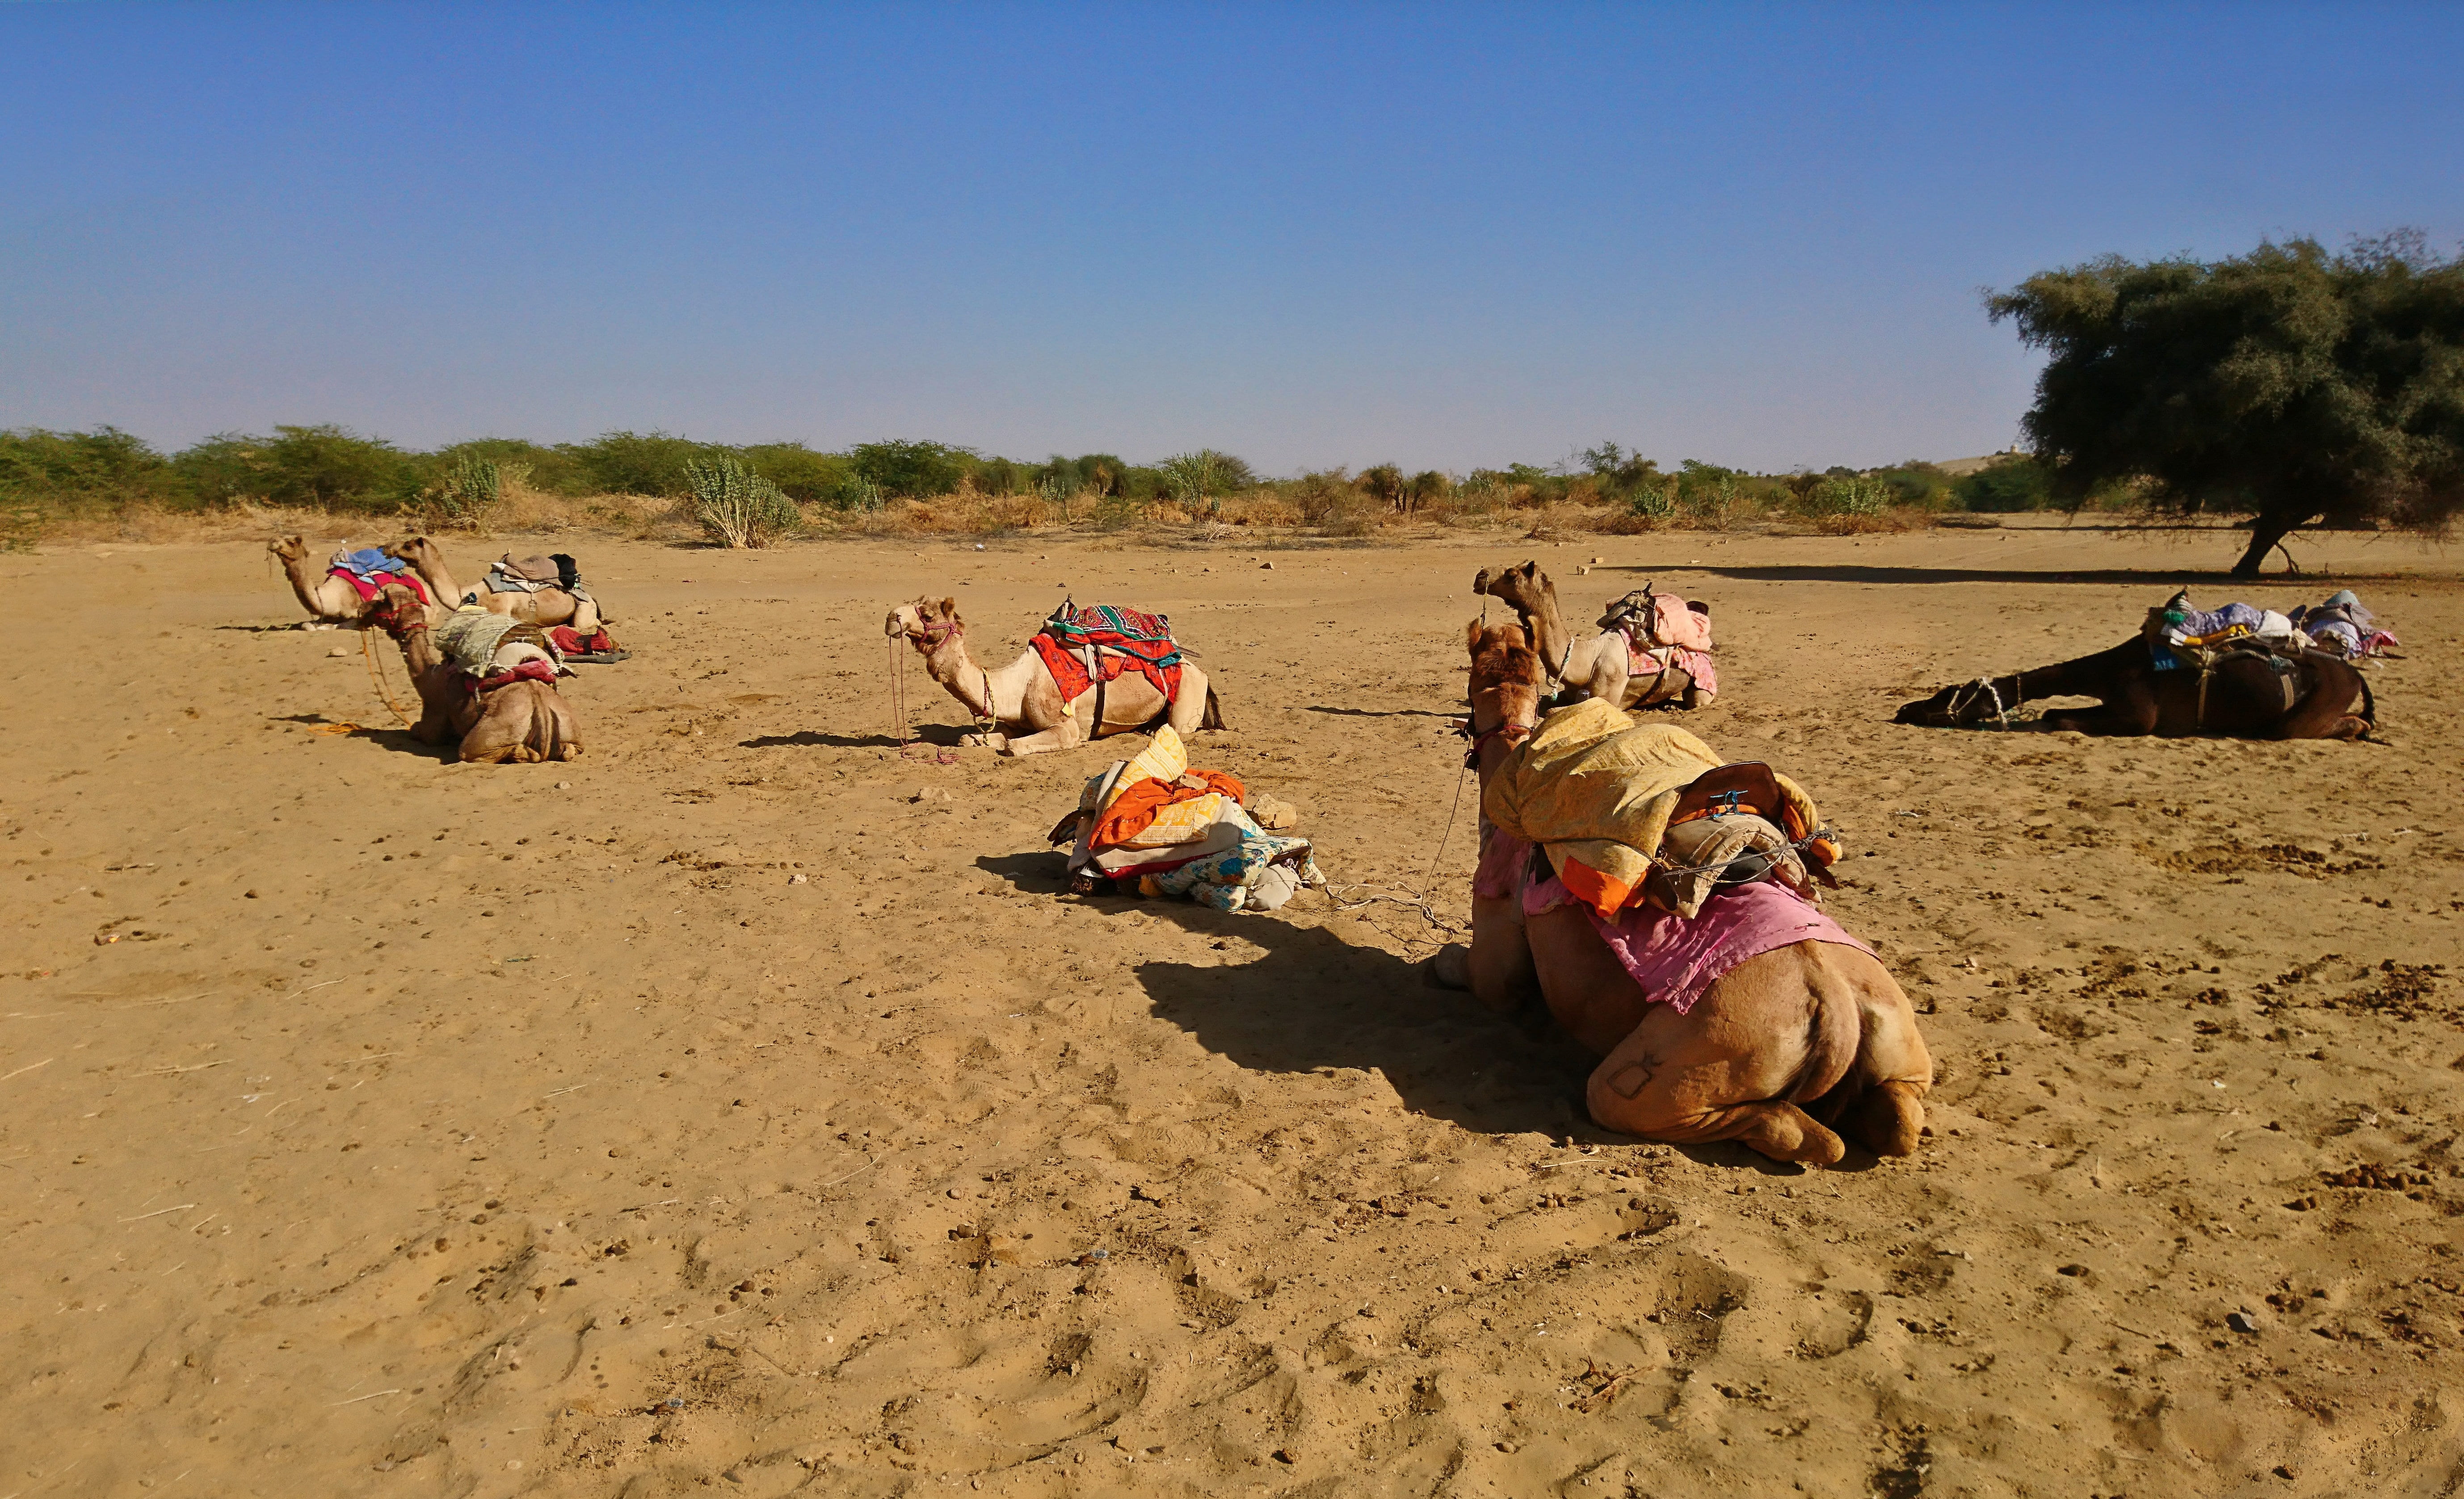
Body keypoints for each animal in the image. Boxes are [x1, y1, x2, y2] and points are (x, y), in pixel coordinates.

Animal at [371, 583, 582, 763]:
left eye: (382, 605)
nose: (366, 611)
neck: (429, 676)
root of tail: (544, 715)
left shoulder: (435, 715)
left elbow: (419, 731)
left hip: (482, 743)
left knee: (474, 752)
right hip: (572, 734)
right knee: (569, 749)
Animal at [393, 536, 602, 632]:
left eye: (408, 546)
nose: (389, 549)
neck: (470, 593)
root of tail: (592, 598)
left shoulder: (500, 610)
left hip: (584, 610)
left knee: (586, 624)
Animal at [884, 596, 1223, 757]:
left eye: (928, 615)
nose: (891, 617)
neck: (1019, 684)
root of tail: (1200, 672)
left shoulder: (1066, 728)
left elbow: (1015, 747)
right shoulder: (1017, 721)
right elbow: (970, 739)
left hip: (1186, 700)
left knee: (1179, 727)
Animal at [1430, 620, 1930, 1165]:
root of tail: (1837, 1016)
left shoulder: (1497, 933)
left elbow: (1473, 974)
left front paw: (1444, 962)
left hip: (1684, 1061)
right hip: (1899, 1038)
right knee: (1898, 1122)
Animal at [1472, 560, 1707, 710]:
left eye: (1512, 575)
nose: (1480, 576)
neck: (1587, 660)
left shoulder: (1609, 699)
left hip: (1702, 686)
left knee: (1697, 701)